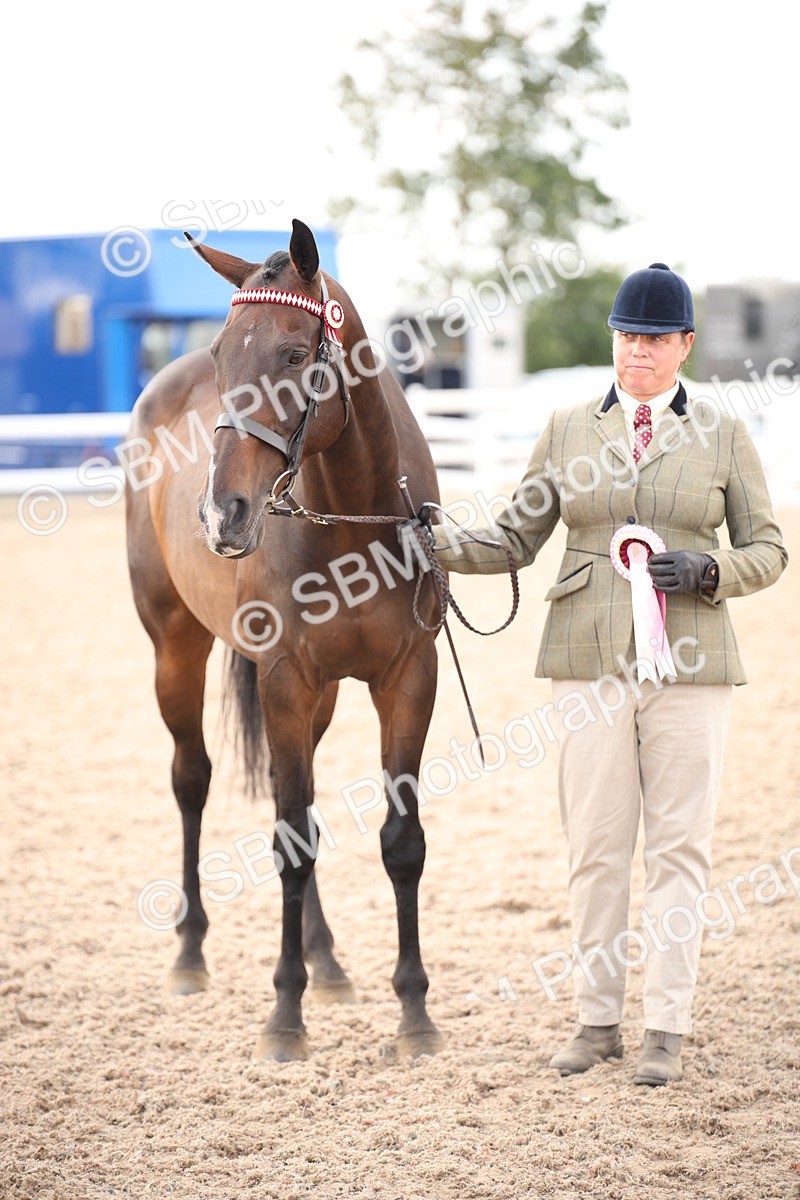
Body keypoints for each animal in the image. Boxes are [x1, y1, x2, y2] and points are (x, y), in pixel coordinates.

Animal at [125, 218, 443, 1061]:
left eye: (297, 355)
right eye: (220, 356)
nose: (221, 514)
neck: (351, 516)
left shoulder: (408, 679)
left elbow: (401, 841)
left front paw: (414, 1013)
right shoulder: (283, 680)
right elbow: (290, 841)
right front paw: (284, 1016)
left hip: (322, 695)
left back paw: (327, 960)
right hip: (175, 648)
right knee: (192, 779)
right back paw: (191, 953)